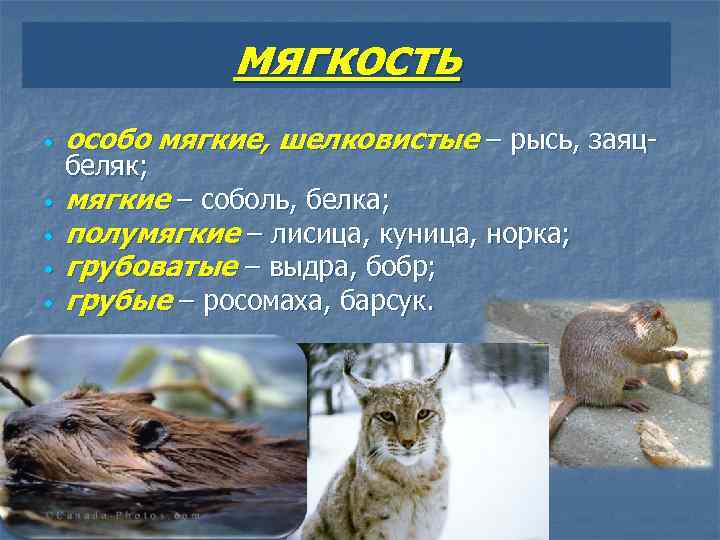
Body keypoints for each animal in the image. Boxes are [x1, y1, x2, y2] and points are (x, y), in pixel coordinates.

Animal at [549, 301, 688, 440]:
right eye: (667, 326)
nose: (676, 339)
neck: (631, 328)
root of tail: (574, 394)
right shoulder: (634, 346)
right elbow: (651, 356)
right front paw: (679, 354)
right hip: (608, 382)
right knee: (614, 399)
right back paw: (631, 402)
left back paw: (631, 382)